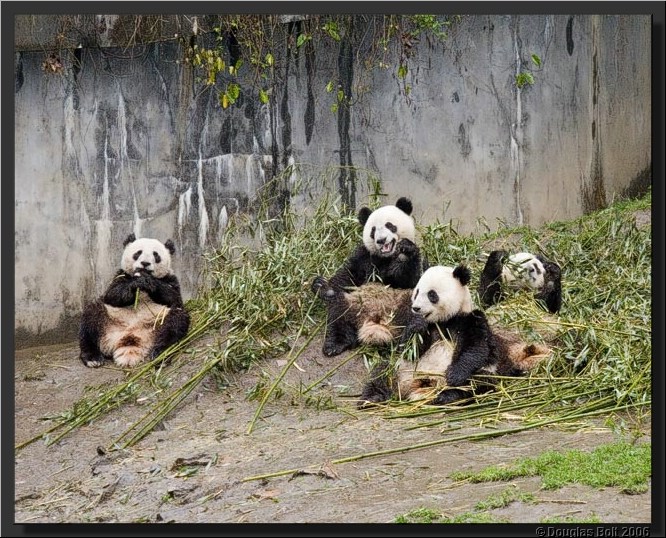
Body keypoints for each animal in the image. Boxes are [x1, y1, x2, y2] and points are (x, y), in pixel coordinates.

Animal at [79, 233, 191, 368]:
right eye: (138, 253)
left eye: (156, 255)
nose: (145, 263)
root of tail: (129, 342)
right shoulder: (120, 276)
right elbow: (112, 295)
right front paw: (136, 283)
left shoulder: (171, 280)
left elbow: (174, 298)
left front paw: (149, 281)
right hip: (107, 317)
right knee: (91, 318)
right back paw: (93, 358)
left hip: (160, 320)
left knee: (174, 324)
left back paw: (160, 354)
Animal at [312, 197, 426, 356]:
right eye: (373, 230)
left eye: (390, 225)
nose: (381, 240)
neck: (387, 257)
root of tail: (376, 321)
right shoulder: (363, 256)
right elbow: (347, 275)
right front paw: (321, 286)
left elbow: (410, 278)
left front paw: (407, 249)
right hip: (352, 302)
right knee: (338, 312)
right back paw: (334, 344)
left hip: (406, 302)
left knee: (417, 318)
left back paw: (411, 340)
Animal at [359, 265, 550, 406]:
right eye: (417, 292)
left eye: (432, 294)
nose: (416, 308)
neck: (443, 321)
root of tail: (420, 386)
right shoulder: (422, 327)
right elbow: (409, 349)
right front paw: (417, 327)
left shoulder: (470, 320)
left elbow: (476, 348)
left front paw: (454, 375)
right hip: (399, 369)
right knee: (382, 371)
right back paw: (371, 398)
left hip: (483, 372)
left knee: (477, 380)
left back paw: (448, 396)